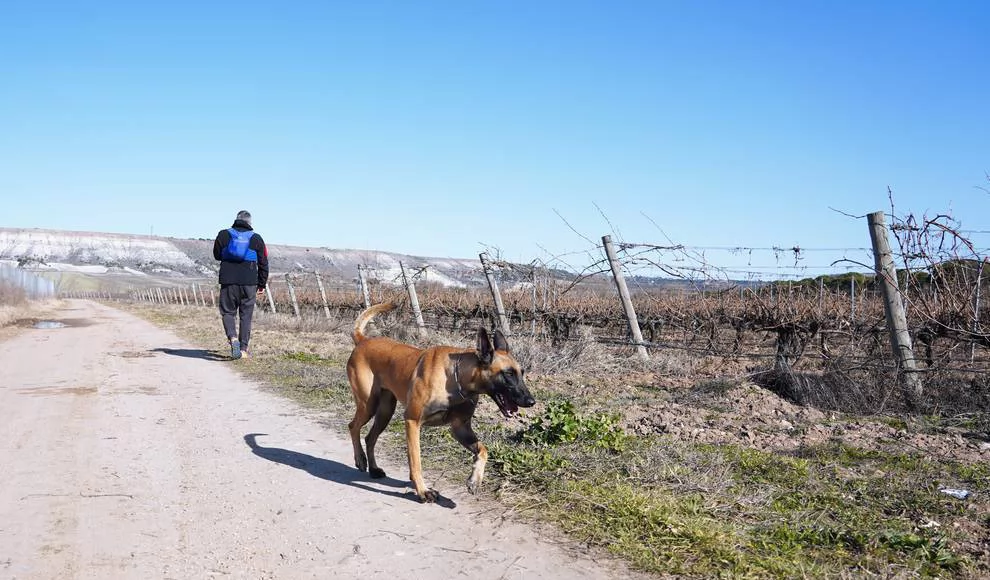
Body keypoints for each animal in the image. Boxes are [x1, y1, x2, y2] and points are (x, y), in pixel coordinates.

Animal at [346, 302, 536, 500]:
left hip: (385, 411)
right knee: (353, 426)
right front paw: (422, 490)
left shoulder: (460, 428)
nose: (531, 401)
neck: (456, 378)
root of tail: (363, 340)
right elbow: (416, 460)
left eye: (522, 373)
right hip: (369, 405)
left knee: (370, 437)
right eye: (508, 374)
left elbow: (483, 450)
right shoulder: (412, 421)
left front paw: (474, 480)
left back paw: (374, 468)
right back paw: (360, 459)